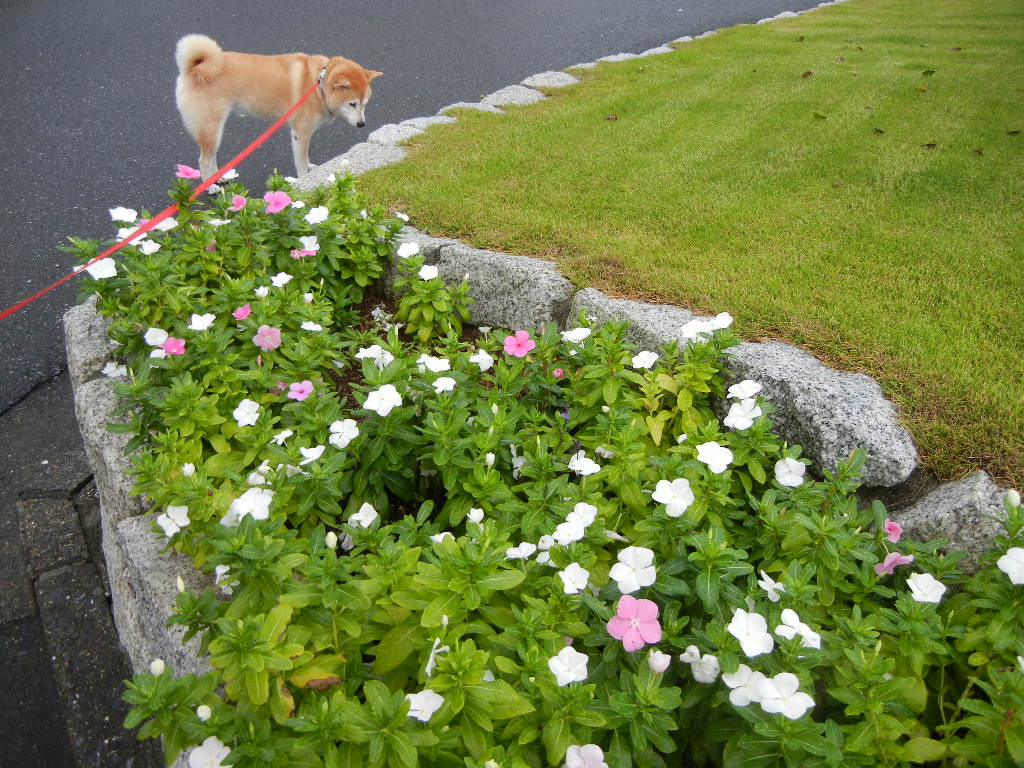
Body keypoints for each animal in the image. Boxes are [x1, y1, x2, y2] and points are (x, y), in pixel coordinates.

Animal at [174, 36, 382, 185]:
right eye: (352, 104)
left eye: (365, 103)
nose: (362, 124)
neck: (318, 85)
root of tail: (194, 69)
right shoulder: (300, 134)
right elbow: (301, 161)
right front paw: (304, 180)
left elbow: (306, 158)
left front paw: (311, 169)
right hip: (211, 128)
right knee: (204, 160)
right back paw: (211, 187)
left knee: (210, 157)